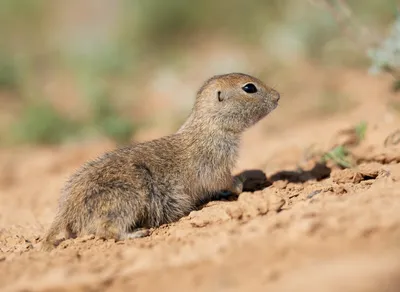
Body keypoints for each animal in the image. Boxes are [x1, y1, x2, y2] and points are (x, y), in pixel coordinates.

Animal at [39, 72, 278, 250]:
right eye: (249, 88)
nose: (278, 96)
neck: (208, 126)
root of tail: (66, 210)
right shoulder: (214, 162)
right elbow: (221, 179)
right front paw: (241, 183)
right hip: (126, 199)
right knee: (107, 228)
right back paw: (135, 234)